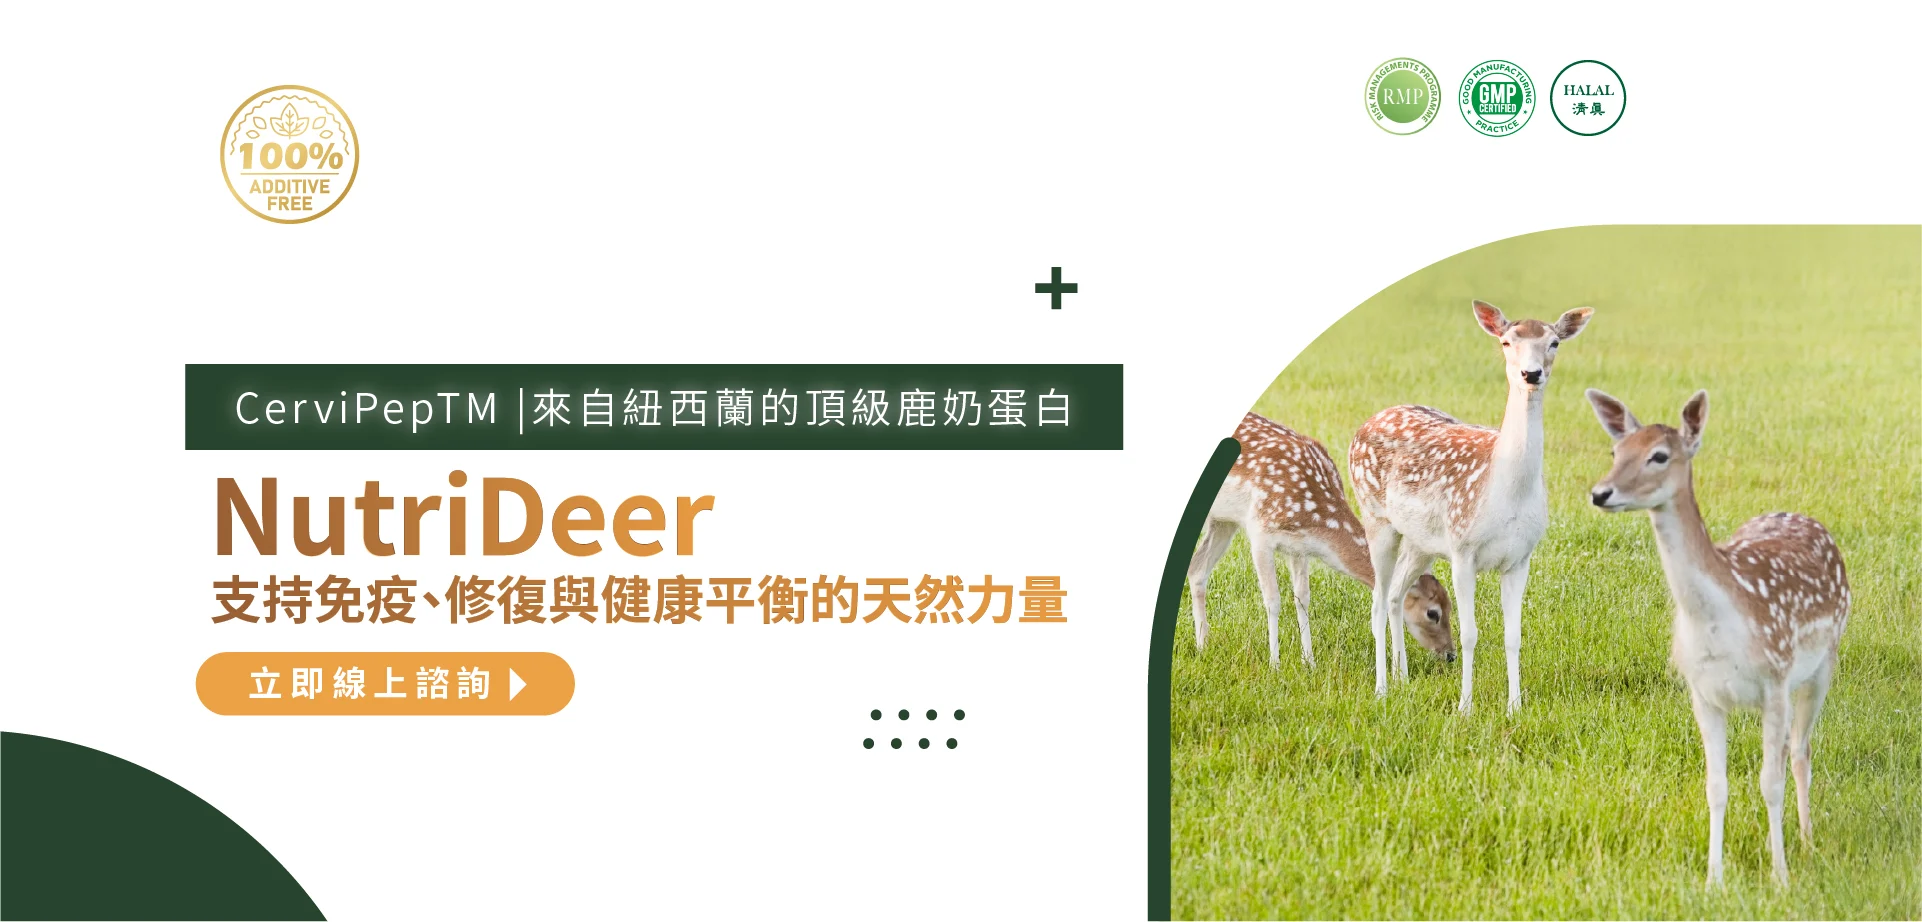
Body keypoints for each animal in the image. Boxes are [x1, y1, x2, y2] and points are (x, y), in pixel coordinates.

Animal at [1188, 412, 1454, 669]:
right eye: (1433, 613)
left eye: (1451, 605)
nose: (1451, 654)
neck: (1316, 517)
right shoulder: (1260, 531)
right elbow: (1273, 600)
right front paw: (1275, 665)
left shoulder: (1298, 547)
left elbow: (1302, 598)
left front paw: (1309, 661)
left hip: (1224, 521)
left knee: (1197, 569)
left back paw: (1202, 645)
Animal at [1349, 301, 1593, 714]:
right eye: (1507, 341)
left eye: (1554, 342)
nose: (1531, 374)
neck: (1506, 493)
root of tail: (1366, 423)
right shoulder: (1463, 549)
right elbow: (1470, 634)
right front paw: (1465, 707)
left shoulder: (1521, 557)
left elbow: (1514, 635)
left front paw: (1515, 706)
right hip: (1376, 517)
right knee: (1378, 601)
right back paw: (1382, 688)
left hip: (1422, 542)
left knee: (1397, 592)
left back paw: (1402, 677)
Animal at [1585, 389, 1848, 888]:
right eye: (1614, 452)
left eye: (1659, 455)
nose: (1600, 493)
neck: (1718, 620)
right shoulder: (1702, 690)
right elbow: (1716, 786)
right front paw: (1713, 879)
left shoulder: (1774, 678)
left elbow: (1769, 782)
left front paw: (1780, 877)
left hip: (1823, 661)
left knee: (1800, 751)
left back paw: (1806, 842)